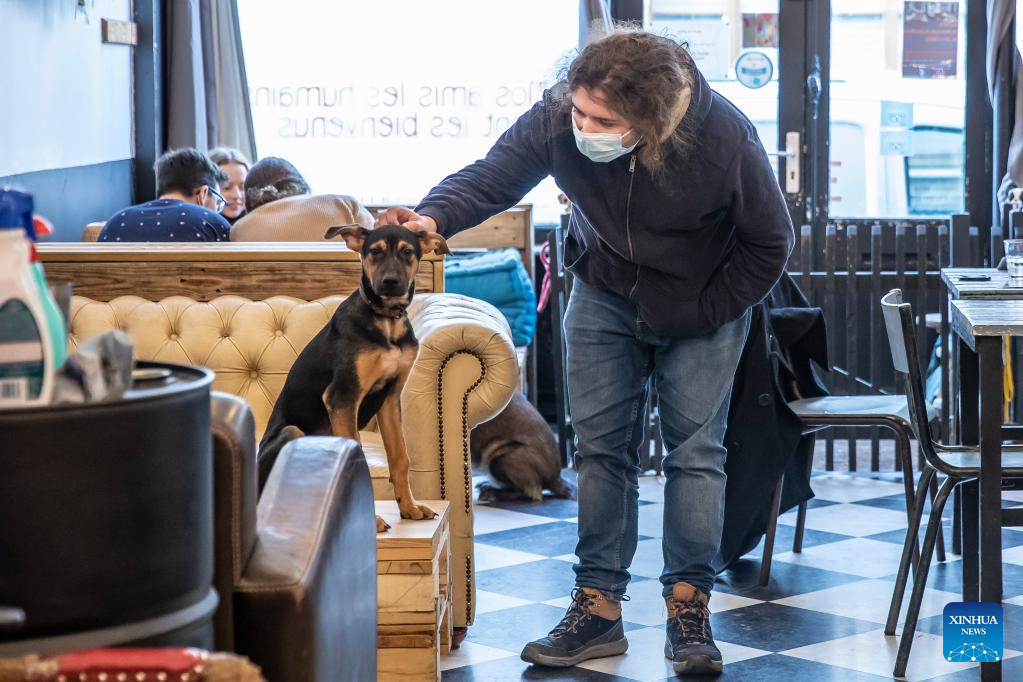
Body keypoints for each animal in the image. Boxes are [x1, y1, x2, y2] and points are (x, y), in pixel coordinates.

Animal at [257, 223, 449, 532]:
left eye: (407, 252)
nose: (390, 282)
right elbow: (359, 464)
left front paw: (409, 508)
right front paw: (371, 521)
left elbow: (400, 458)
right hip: (292, 433)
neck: (386, 320)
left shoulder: (390, 398)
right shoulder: (342, 398)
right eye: (375, 252)